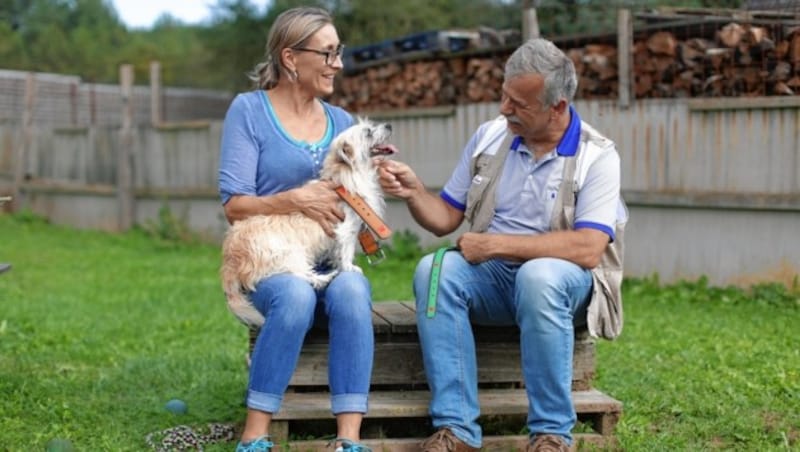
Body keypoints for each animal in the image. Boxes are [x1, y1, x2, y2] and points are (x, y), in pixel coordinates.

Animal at [220, 118, 396, 326]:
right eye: (368, 132)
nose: (389, 125)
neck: (344, 179)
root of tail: (230, 260)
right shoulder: (346, 230)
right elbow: (346, 251)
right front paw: (348, 267)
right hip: (288, 253)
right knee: (300, 275)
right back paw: (325, 278)